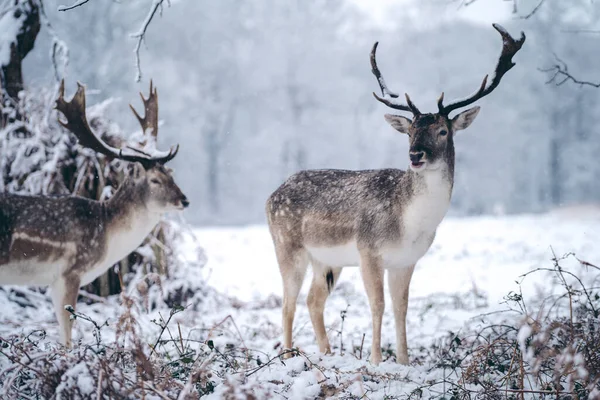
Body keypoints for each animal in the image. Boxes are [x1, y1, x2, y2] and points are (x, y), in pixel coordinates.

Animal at [0, 80, 189, 346]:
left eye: (170, 175)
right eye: (155, 180)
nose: (184, 200)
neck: (107, 237)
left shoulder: (53, 281)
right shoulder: (70, 272)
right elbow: (67, 335)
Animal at [268, 22, 524, 366]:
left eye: (443, 130)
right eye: (411, 131)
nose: (415, 155)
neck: (411, 223)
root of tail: (272, 194)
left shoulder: (406, 260)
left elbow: (402, 308)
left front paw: (404, 361)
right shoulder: (369, 251)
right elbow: (378, 305)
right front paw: (376, 360)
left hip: (327, 260)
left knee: (312, 301)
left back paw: (327, 354)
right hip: (287, 246)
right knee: (287, 303)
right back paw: (288, 356)